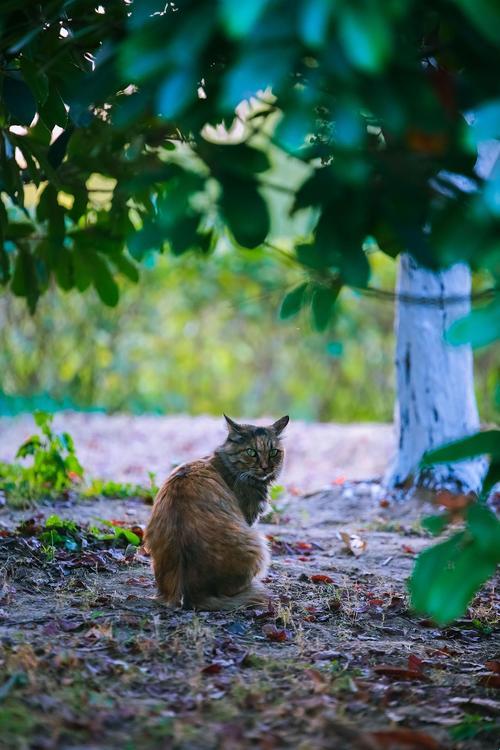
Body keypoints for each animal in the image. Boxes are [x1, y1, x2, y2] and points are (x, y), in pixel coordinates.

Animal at [143, 414, 290, 612]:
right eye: (251, 452)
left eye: (274, 452)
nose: (266, 467)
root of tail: (189, 592)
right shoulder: (249, 519)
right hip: (258, 543)